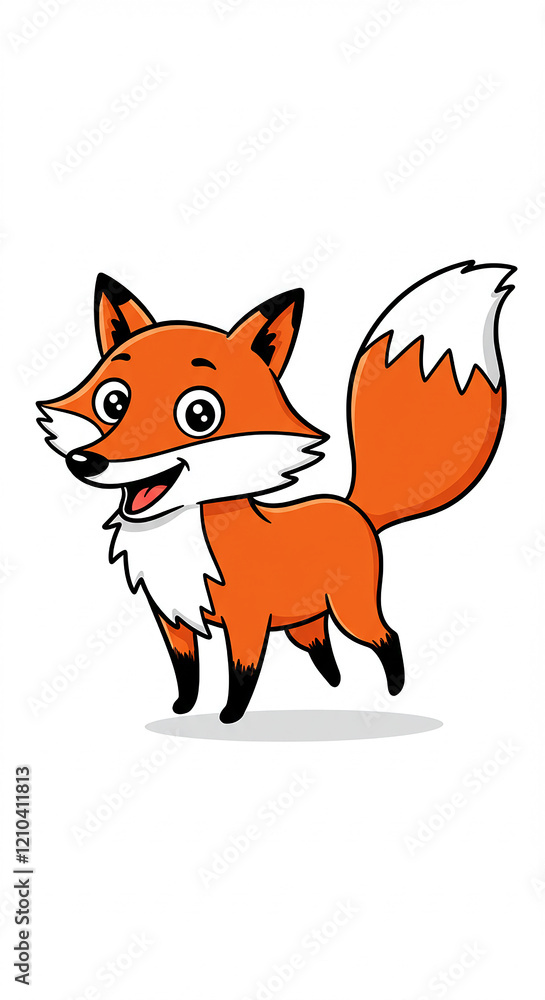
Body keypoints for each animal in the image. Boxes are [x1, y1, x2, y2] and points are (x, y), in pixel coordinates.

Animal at [38, 261, 515, 723]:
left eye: (199, 414)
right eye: (113, 403)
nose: (86, 461)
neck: (184, 540)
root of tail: (353, 506)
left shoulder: (246, 620)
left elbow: (241, 674)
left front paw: (230, 719)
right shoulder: (173, 619)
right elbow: (186, 672)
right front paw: (182, 709)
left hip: (351, 612)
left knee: (387, 637)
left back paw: (392, 690)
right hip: (305, 620)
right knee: (323, 648)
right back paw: (334, 688)